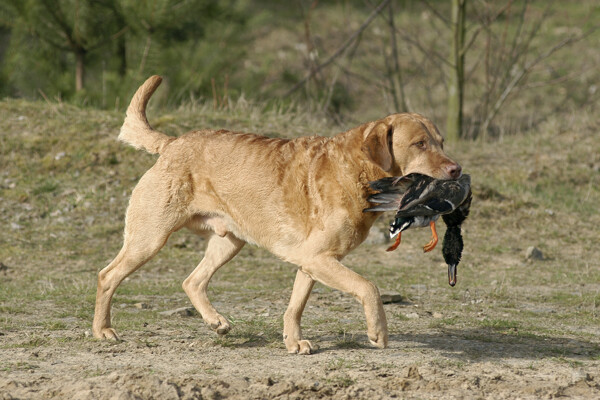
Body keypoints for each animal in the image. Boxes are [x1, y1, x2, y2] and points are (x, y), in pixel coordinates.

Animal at [91, 75, 462, 354]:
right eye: (419, 144)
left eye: (442, 142)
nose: (456, 170)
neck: (356, 170)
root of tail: (172, 143)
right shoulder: (319, 258)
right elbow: (368, 286)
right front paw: (378, 332)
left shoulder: (311, 260)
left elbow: (295, 306)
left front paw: (293, 342)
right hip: (149, 238)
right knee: (107, 276)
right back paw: (103, 331)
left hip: (230, 241)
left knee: (192, 280)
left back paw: (216, 322)